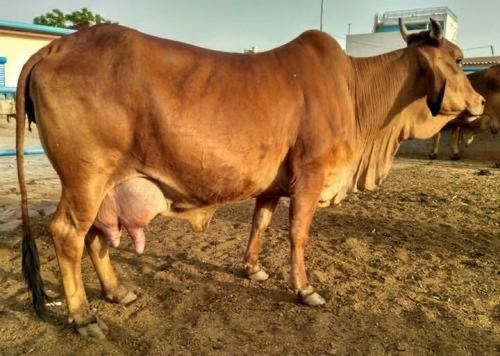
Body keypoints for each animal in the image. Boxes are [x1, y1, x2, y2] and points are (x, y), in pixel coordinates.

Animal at [16, 18, 484, 338]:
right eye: (460, 61)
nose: (481, 100)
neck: (357, 94)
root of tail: (54, 48)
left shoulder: (272, 185)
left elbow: (260, 223)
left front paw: (253, 269)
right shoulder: (310, 175)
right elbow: (298, 234)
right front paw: (304, 289)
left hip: (107, 186)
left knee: (96, 237)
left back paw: (117, 291)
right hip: (86, 178)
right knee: (68, 234)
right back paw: (83, 317)